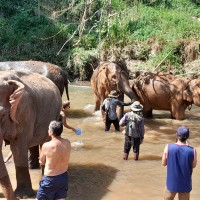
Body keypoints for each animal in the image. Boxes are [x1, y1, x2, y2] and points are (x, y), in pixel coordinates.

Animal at [0, 70, 61, 198]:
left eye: (2, 114)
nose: (15, 199)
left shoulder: (25, 112)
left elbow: (18, 147)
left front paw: (23, 196)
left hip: (55, 113)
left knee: (46, 143)